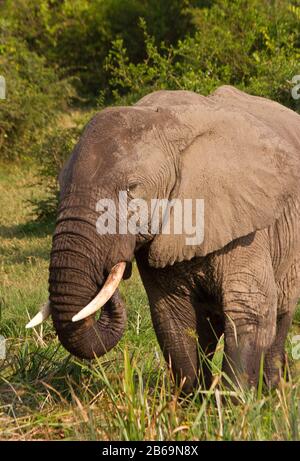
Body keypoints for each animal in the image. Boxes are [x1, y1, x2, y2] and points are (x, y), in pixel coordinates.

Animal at [27, 85, 300, 392]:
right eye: (60, 184)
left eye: (132, 188)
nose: (109, 270)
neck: (166, 122)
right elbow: (173, 317)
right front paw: (192, 399)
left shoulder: (246, 228)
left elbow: (249, 311)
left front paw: (235, 401)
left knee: (281, 311)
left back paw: (274, 391)